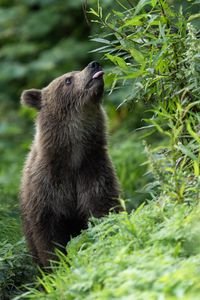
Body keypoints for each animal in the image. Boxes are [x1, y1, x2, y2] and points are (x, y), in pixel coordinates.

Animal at [19, 61, 120, 268]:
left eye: (74, 73)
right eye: (67, 80)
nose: (94, 64)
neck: (73, 155)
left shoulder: (93, 171)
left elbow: (103, 209)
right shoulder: (47, 188)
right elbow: (48, 236)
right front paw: (57, 264)